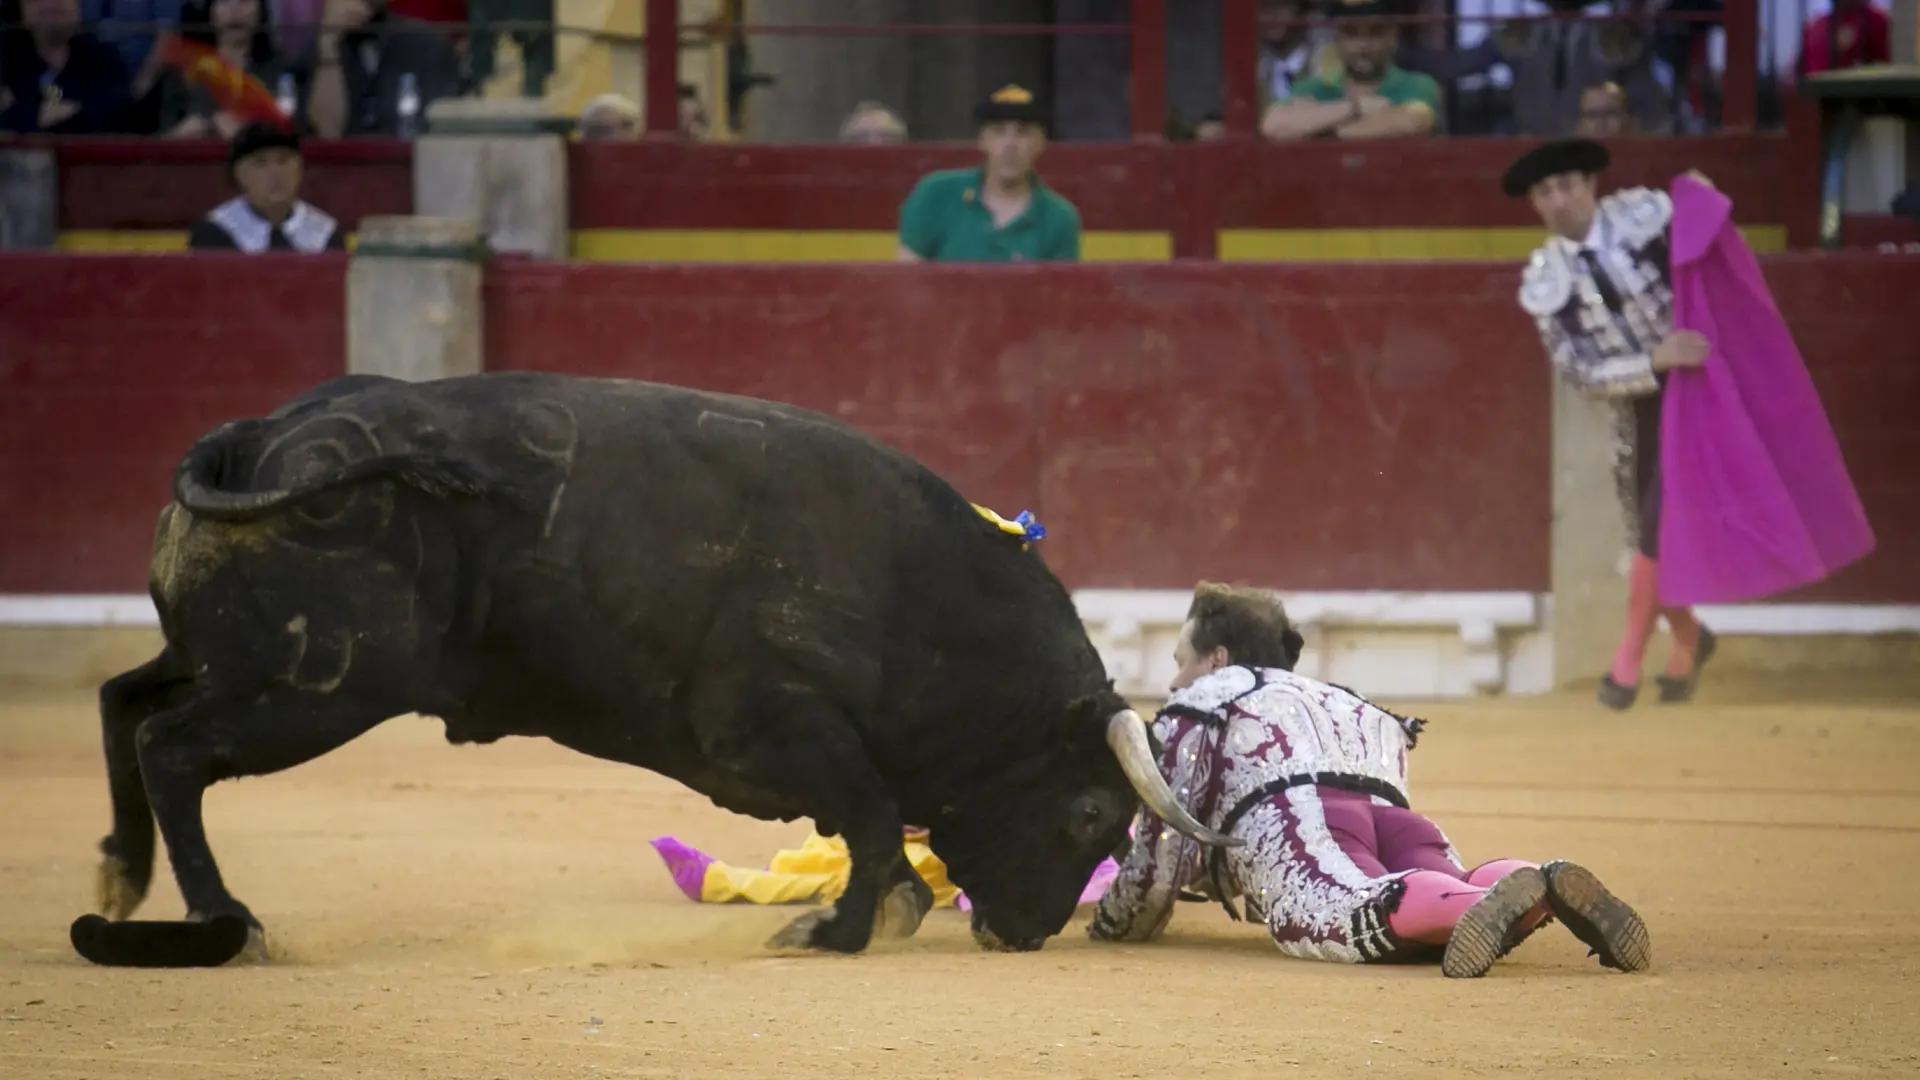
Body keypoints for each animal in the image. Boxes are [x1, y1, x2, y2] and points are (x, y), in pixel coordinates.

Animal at [93, 374, 1228, 953]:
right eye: (1090, 812)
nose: (1023, 936)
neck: (924, 603)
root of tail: (256, 437)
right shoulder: (773, 724)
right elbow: (867, 811)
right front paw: (838, 929)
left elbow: (870, 820)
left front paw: (883, 907)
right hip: (317, 686)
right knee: (173, 748)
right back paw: (222, 917)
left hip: (237, 666)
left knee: (123, 702)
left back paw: (122, 878)